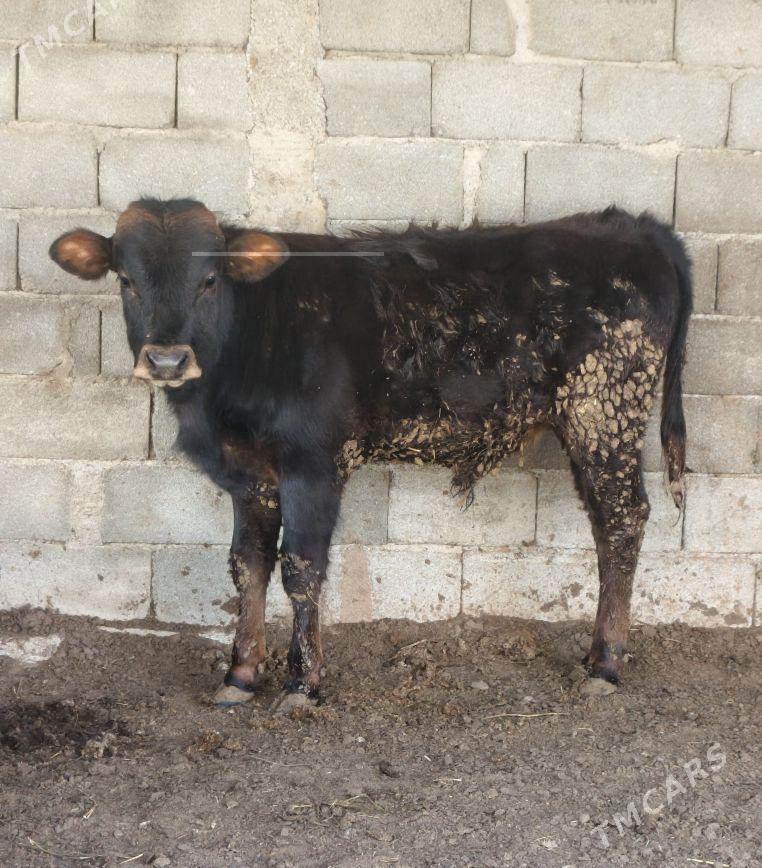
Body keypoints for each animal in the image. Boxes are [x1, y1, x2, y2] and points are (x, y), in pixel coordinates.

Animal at [50, 198, 692, 711]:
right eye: (125, 279)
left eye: (210, 278)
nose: (166, 360)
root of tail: (632, 226)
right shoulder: (251, 475)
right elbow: (246, 566)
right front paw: (241, 674)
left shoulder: (314, 464)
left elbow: (301, 569)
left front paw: (302, 685)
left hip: (605, 412)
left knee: (622, 520)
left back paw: (605, 662)